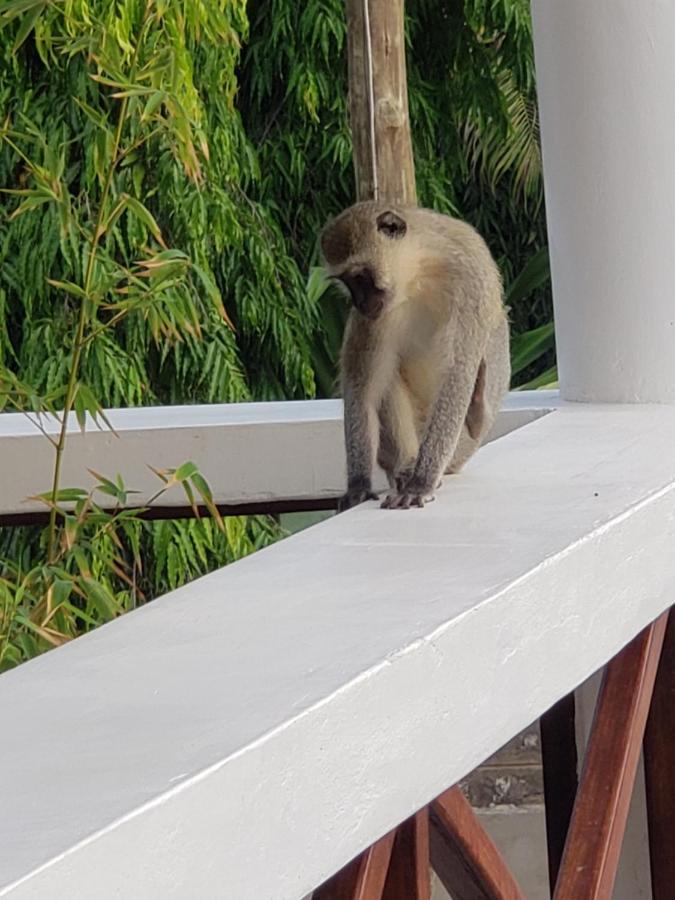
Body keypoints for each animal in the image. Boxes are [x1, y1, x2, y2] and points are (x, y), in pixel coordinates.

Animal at [320, 205, 510, 512]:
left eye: (360, 277)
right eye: (347, 282)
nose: (359, 304)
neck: (420, 271)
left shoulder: (471, 282)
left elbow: (457, 376)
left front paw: (421, 483)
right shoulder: (375, 318)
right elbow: (364, 389)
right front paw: (358, 485)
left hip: (463, 447)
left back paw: (476, 414)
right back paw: (406, 467)